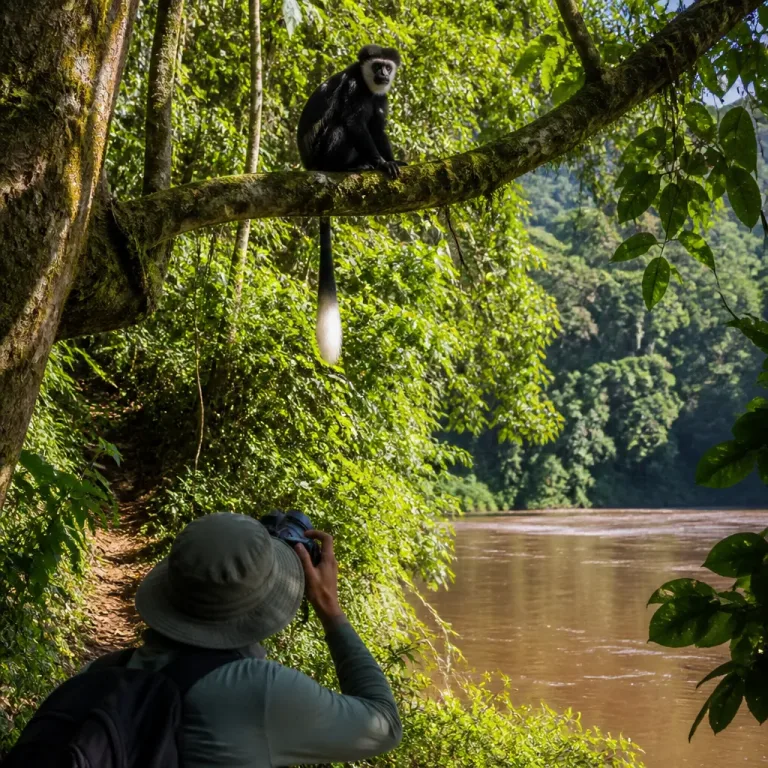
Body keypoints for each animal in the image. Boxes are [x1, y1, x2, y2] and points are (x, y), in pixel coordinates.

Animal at [297, 44, 405, 365]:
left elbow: (378, 128)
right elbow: (356, 123)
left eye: (387, 67)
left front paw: (393, 161)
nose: (383, 74)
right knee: (341, 126)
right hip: (325, 151)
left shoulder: (381, 97)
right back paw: (355, 165)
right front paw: (382, 164)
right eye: (378, 66)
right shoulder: (355, 88)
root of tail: (309, 165)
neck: (369, 88)